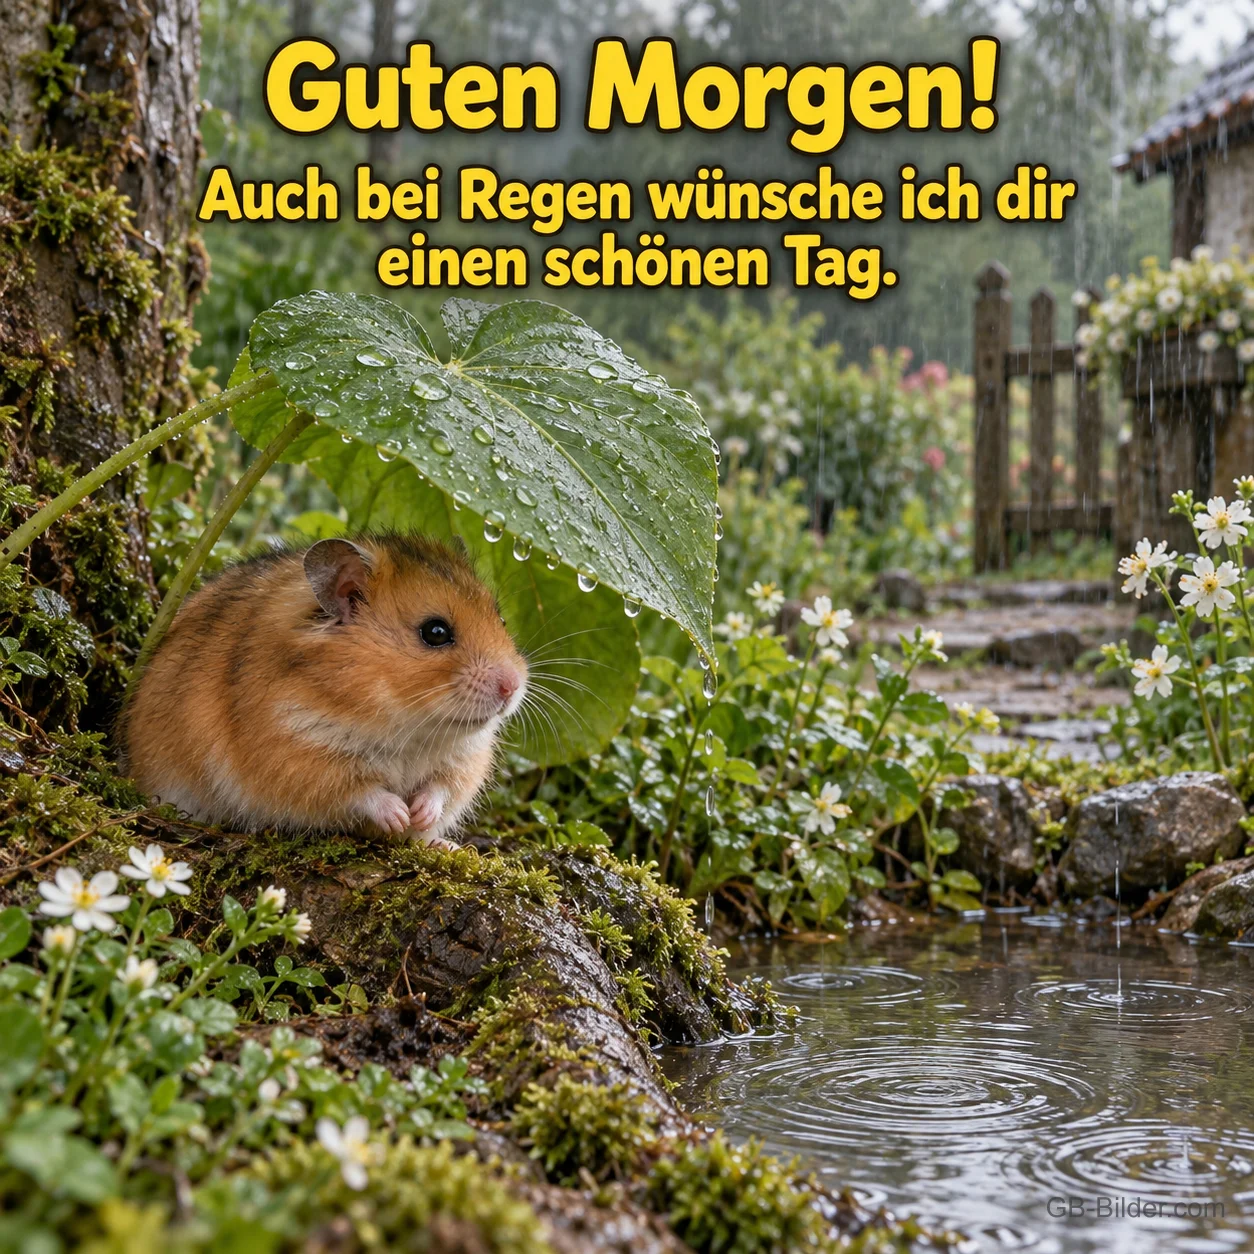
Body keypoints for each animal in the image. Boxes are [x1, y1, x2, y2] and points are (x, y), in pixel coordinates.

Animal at [122, 534, 528, 845]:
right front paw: (400, 816)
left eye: (501, 617)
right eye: (436, 632)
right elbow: (360, 792)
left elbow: (441, 788)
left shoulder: (466, 761)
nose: (512, 686)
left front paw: (421, 818)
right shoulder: (296, 755)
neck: (407, 727)